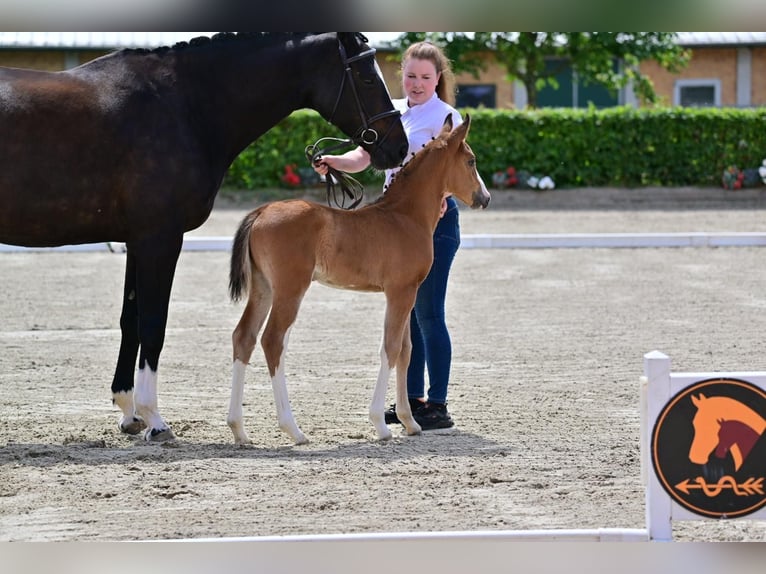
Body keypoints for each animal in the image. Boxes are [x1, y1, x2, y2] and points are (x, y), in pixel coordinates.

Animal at [0, 33, 412, 444]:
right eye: (367, 77)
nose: (399, 147)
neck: (185, 104)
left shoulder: (138, 240)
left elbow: (130, 320)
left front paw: (130, 413)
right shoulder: (159, 238)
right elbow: (154, 323)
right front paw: (155, 419)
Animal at [228, 113, 492, 446]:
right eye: (471, 161)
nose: (485, 198)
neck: (406, 217)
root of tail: (261, 212)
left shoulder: (407, 293)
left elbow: (406, 350)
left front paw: (409, 422)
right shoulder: (400, 292)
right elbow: (391, 348)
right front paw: (380, 425)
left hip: (263, 288)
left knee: (244, 337)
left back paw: (239, 429)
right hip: (290, 289)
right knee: (273, 340)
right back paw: (294, 430)